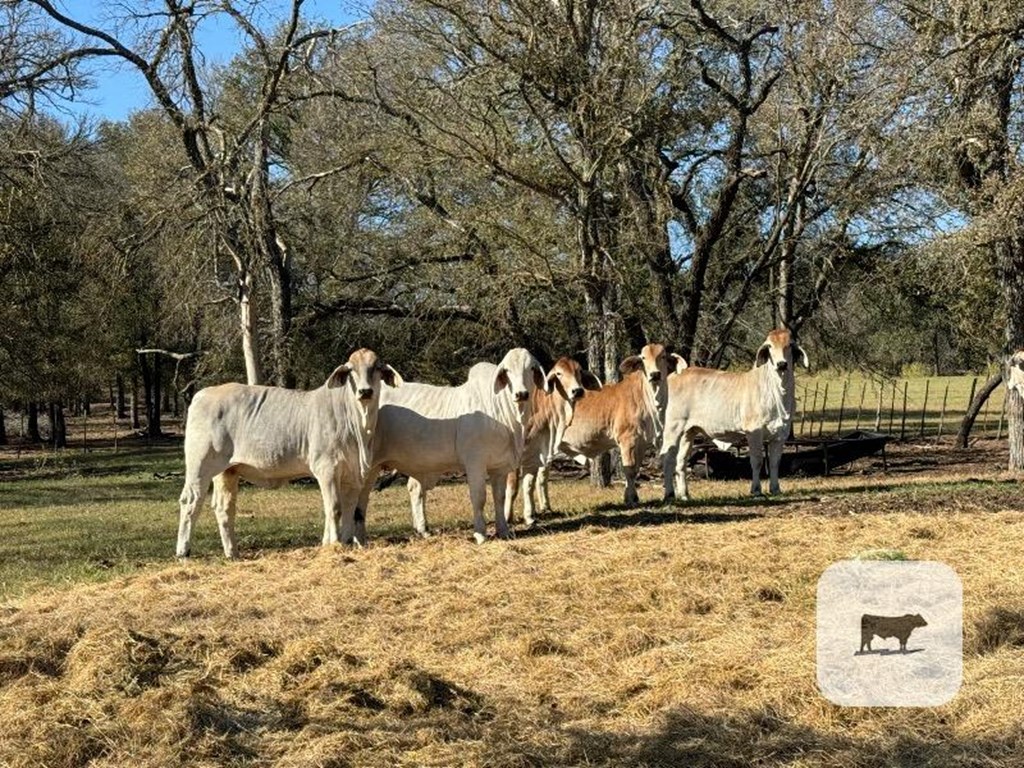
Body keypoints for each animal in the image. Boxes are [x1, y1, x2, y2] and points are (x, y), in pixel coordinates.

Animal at [176, 350, 399, 561]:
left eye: (376, 367)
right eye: (351, 369)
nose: (365, 391)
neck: (359, 427)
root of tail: (203, 394)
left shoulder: (353, 475)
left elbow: (349, 510)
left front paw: (345, 544)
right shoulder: (326, 469)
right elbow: (334, 508)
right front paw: (334, 545)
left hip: (227, 471)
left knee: (224, 508)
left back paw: (232, 553)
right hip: (200, 464)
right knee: (191, 501)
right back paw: (183, 552)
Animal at [501, 356, 598, 528]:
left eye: (579, 371)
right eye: (559, 373)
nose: (577, 391)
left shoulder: (536, 451)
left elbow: (529, 484)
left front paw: (530, 516)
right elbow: (513, 487)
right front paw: (507, 518)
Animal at [548, 346, 684, 507]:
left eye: (662, 356)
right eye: (643, 358)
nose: (655, 374)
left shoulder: (642, 443)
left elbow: (636, 469)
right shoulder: (627, 439)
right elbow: (630, 470)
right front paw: (632, 498)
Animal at [659, 329, 811, 499]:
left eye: (789, 345)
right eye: (770, 346)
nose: (782, 364)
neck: (777, 391)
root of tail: (673, 376)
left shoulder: (780, 434)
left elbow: (774, 462)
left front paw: (775, 489)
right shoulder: (754, 432)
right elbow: (757, 461)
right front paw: (756, 490)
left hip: (688, 432)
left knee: (681, 462)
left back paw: (685, 494)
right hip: (672, 428)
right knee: (667, 458)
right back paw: (669, 494)